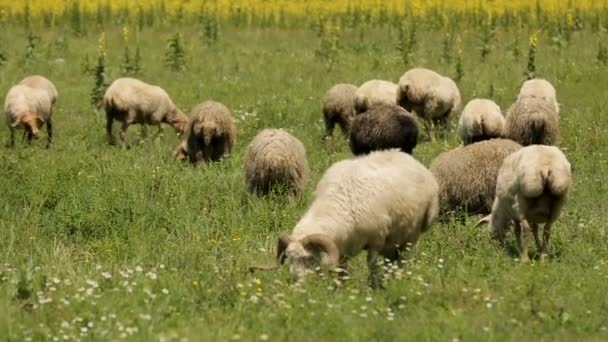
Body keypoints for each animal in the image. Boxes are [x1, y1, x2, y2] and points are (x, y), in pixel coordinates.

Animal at [251, 150, 436, 288]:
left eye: (309, 258)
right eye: (288, 258)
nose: (295, 283)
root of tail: (406, 156)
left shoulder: (376, 240)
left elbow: (372, 265)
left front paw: (373, 287)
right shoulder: (343, 247)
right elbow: (343, 271)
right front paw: (339, 290)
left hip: (410, 238)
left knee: (402, 261)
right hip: (393, 243)